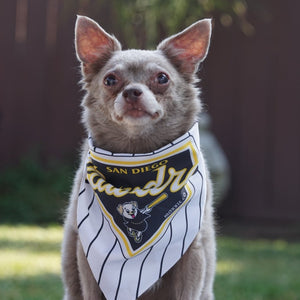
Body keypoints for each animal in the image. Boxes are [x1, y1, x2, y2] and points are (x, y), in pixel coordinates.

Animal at [61, 15, 216, 300]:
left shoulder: (193, 253)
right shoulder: (86, 257)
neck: (137, 154)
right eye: (110, 80)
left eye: (162, 78)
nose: (132, 91)